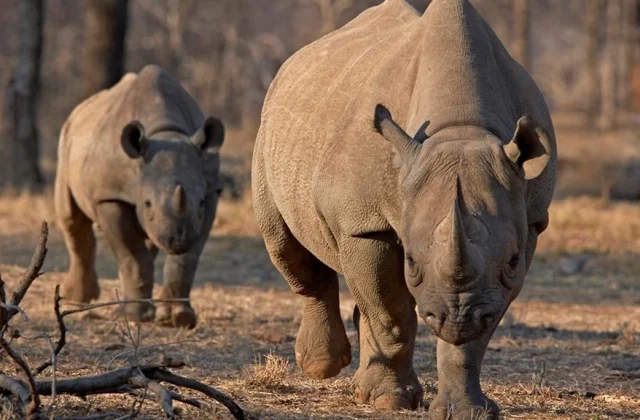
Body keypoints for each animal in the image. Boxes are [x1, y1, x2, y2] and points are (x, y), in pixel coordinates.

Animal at [55, 65, 224, 328]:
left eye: (200, 203)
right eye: (147, 203)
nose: (178, 239)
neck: (165, 133)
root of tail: (79, 110)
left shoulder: (211, 190)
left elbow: (187, 258)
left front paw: (179, 318)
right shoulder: (110, 195)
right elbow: (132, 255)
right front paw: (137, 318)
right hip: (66, 141)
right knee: (71, 219)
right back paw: (78, 301)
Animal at [252, 0, 556, 418]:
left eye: (511, 262)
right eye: (411, 261)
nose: (457, 317)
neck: (461, 128)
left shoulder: (528, 222)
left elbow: (476, 332)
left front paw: (467, 410)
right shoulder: (364, 222)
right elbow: (391, 310)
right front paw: (389, 401)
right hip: (271, 132)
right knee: (285, 243)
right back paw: (322, 366)